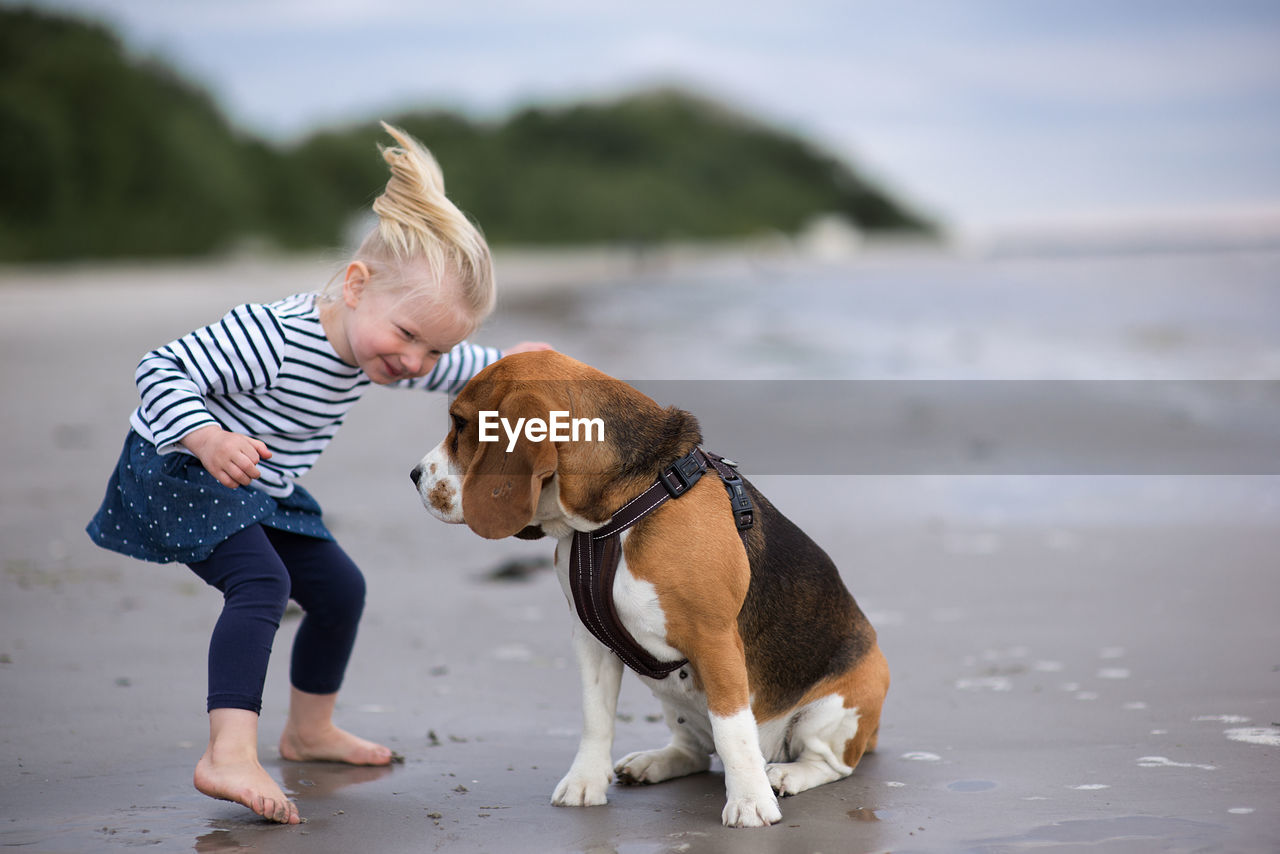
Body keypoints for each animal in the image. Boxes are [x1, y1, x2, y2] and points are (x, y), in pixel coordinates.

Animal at [409, 350, 890, 824]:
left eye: (461, 424)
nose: (414, 475)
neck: (613, 518)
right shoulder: (591, 639)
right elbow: (596, 715)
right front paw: (585, 781)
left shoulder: (715, 642)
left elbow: (733, 730)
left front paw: (750, 802)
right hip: (676, 706)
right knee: (694, 751)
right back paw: (655, 762)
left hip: (834, 710)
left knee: (829, 763)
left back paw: (785, 774)